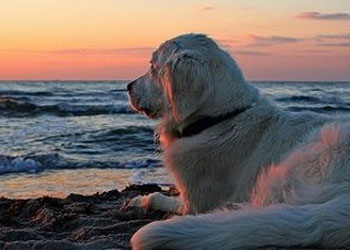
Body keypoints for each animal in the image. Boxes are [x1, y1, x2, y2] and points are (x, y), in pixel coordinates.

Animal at [127, 33, 350, 250]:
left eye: (152, 67)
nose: (128, 86)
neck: (218, 120)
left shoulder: (195, 202)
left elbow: (167, 199)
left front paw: (145, 200)